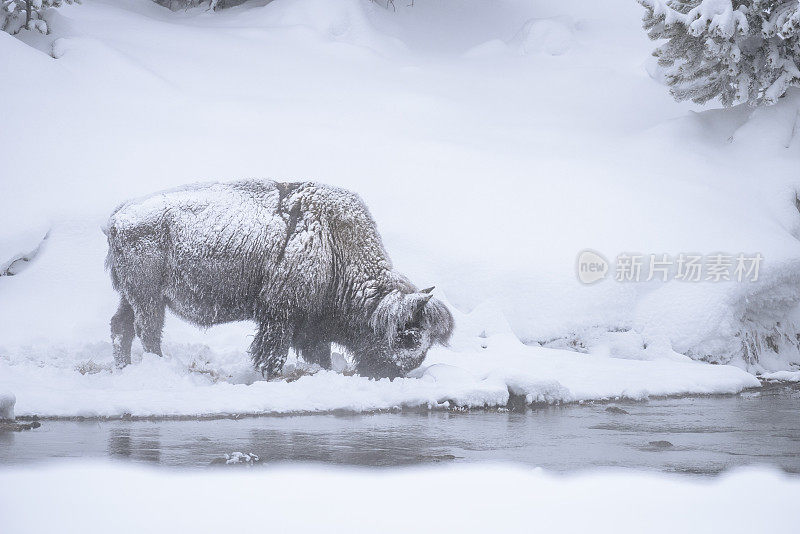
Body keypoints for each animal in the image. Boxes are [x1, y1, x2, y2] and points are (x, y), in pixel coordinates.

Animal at [105, 181, 454, 382]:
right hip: (148, 296)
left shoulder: (310, 327)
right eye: (408, 337)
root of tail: (119, 216)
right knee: (147, 331)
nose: (394, 375)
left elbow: (319, 355)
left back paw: (123, 368)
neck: (333, 244)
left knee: (121, 326)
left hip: (130, 296)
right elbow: (273, 355)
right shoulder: (279, 318)